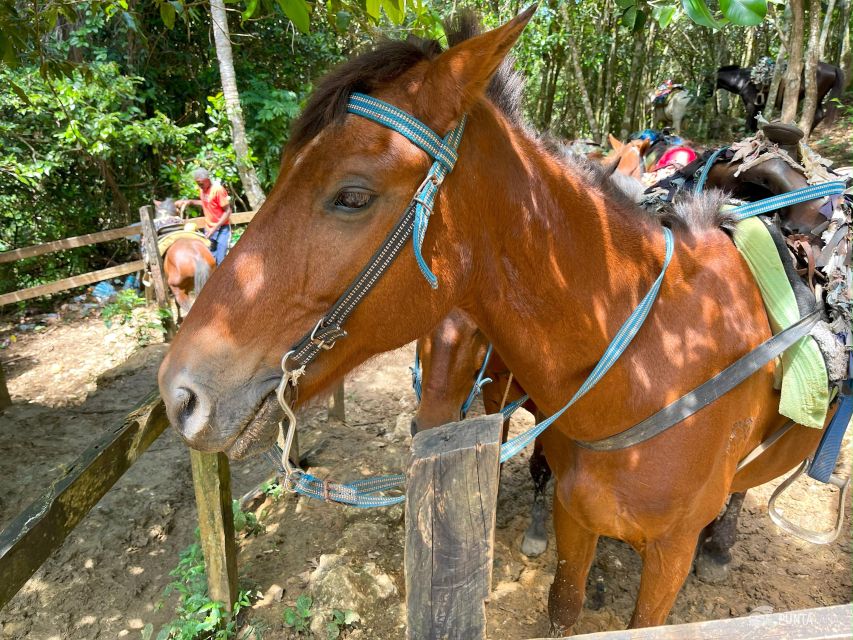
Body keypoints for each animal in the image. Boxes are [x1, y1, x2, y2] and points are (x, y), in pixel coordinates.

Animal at [712, 62, 844, 132]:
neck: (743, 79)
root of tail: (832, 67)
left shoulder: (750, 105)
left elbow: (748, 125)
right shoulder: (757, 107)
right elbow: (754, 124)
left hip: (814, 97)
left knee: (816, 115)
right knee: (820, 115)